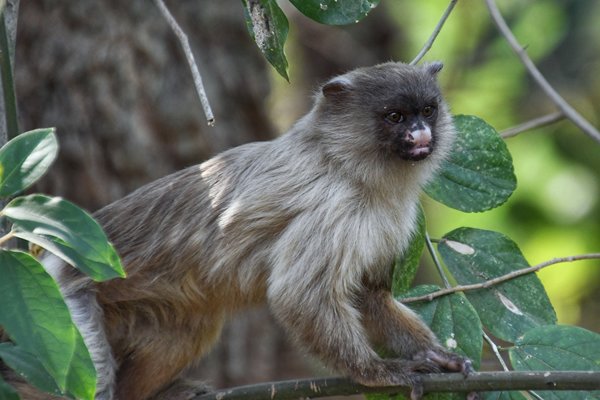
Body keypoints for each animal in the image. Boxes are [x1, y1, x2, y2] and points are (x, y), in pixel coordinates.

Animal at [5, 61, 474, 398]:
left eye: (427, 110)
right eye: (395, 117)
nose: (421, 133)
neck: (347, 166)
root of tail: (42, 251)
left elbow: (369, 295)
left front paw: (435, 356)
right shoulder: (331, 209)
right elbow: (300, 297)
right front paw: (379, 372)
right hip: (62, 301)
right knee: (94, 378)